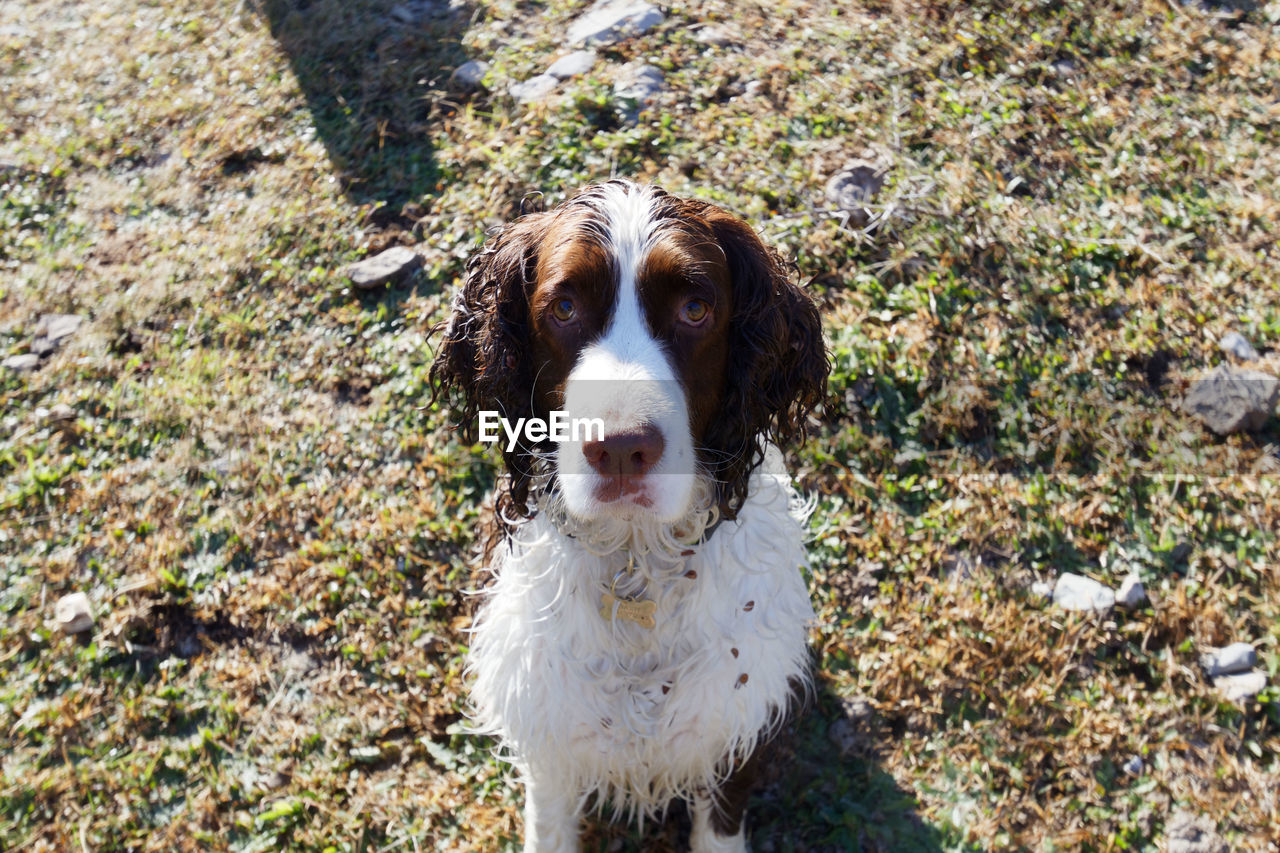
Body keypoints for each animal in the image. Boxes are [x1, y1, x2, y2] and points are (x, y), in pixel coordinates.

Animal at [430, 175, 829, 845]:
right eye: (564, 308)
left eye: (695, 310)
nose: (619, 449)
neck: (635, 560)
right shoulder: (552, 734)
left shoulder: (732, 725)